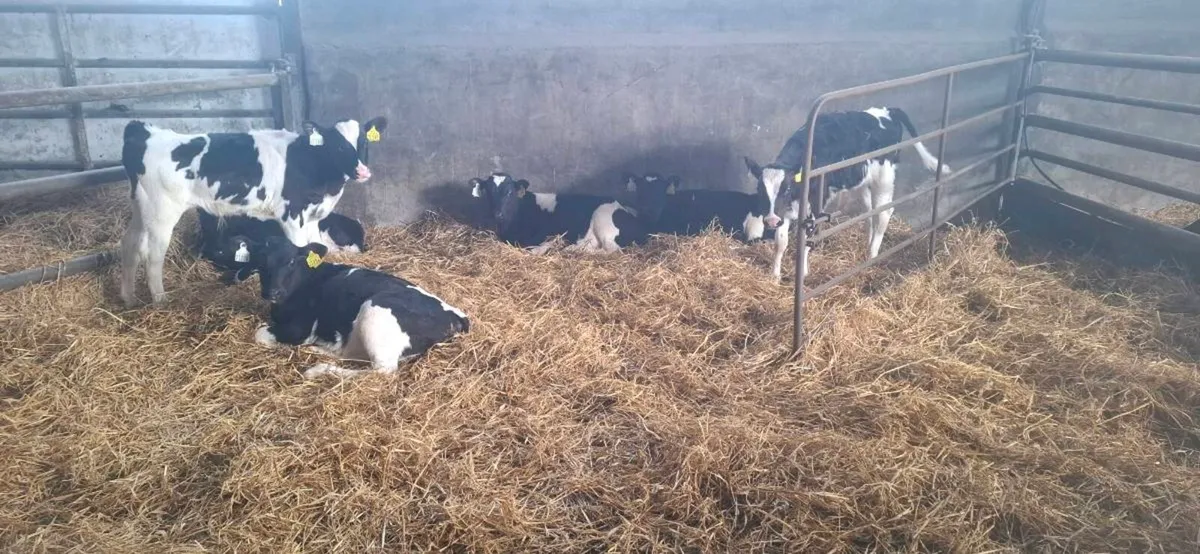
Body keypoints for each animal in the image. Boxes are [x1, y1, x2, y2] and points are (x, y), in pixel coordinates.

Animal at [246, 236, 470, 379]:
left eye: (292, 262)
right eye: (260, 261)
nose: (272, 292)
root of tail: (456, 314)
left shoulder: (301, 327)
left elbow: (259, 334)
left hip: (375, 312)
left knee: (381, 372)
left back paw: (317, 370)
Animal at [744, 106, 949, 281]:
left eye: (786, 188)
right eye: (760, 190)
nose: (770, 220)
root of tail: (887, 111)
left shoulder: (816, 206)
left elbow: (806, 240)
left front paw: (802, 273)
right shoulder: (784, 211)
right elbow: (780, 243)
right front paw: (775, 275)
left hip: (884, 177)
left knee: (884, 212)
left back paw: (872, 255)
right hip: (862, 183)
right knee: (870, 213)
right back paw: (868, 245)